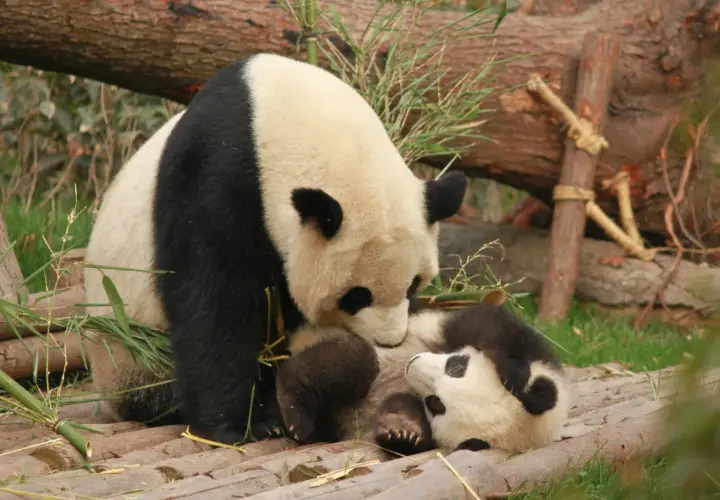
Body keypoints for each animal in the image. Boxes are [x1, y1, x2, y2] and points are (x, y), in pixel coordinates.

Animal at [82, 53, 469, 446]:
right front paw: (239, 426)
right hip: (130, 351)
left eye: (413, 285)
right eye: (356, 296)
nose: (389, 341)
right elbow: (214, 303)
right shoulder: (215, 179)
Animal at [275, 299, 570, 455]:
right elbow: (486, 323)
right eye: (456, 366)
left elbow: (406, 412)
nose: (412, 365)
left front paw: (403, 431)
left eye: (436, 404)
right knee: (352, 362)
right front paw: (512, 371)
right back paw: (296, 413)